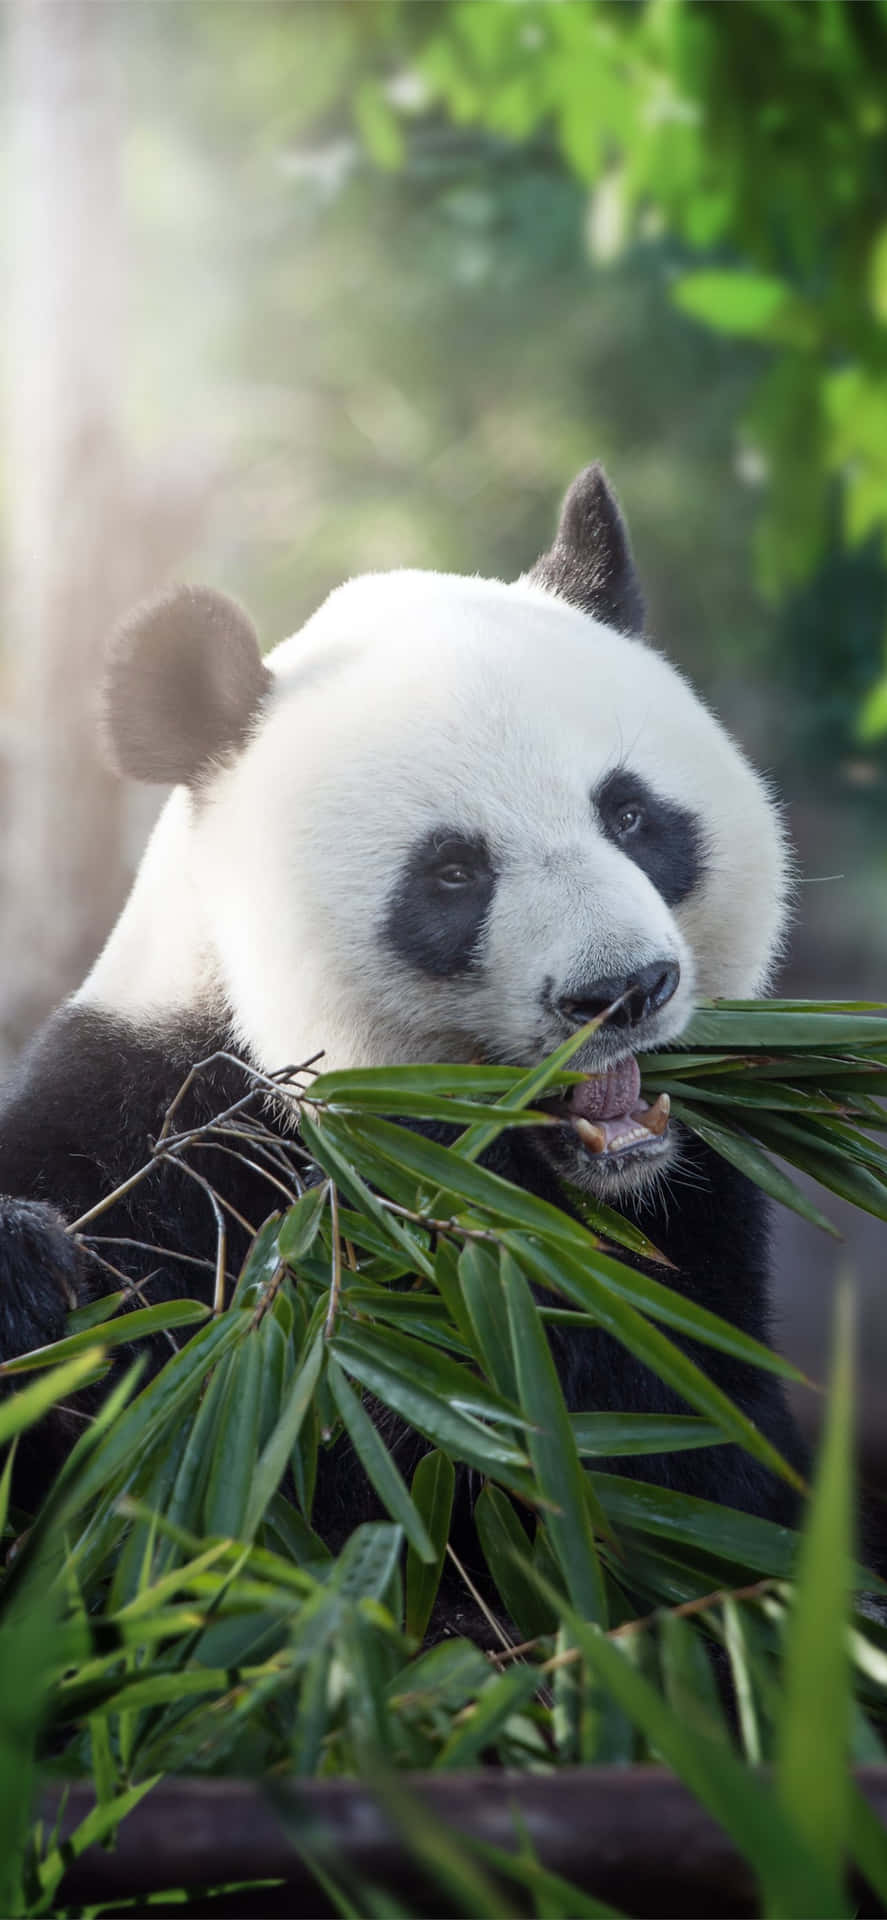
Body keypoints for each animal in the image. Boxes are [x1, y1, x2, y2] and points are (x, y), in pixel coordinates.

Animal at [0, 460, 806, 1543]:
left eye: (631, 815)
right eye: (453, 873)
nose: (622, 990)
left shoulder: (694, 1223)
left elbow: (678, 1449)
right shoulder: (148, 1133)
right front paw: (23, 1277)